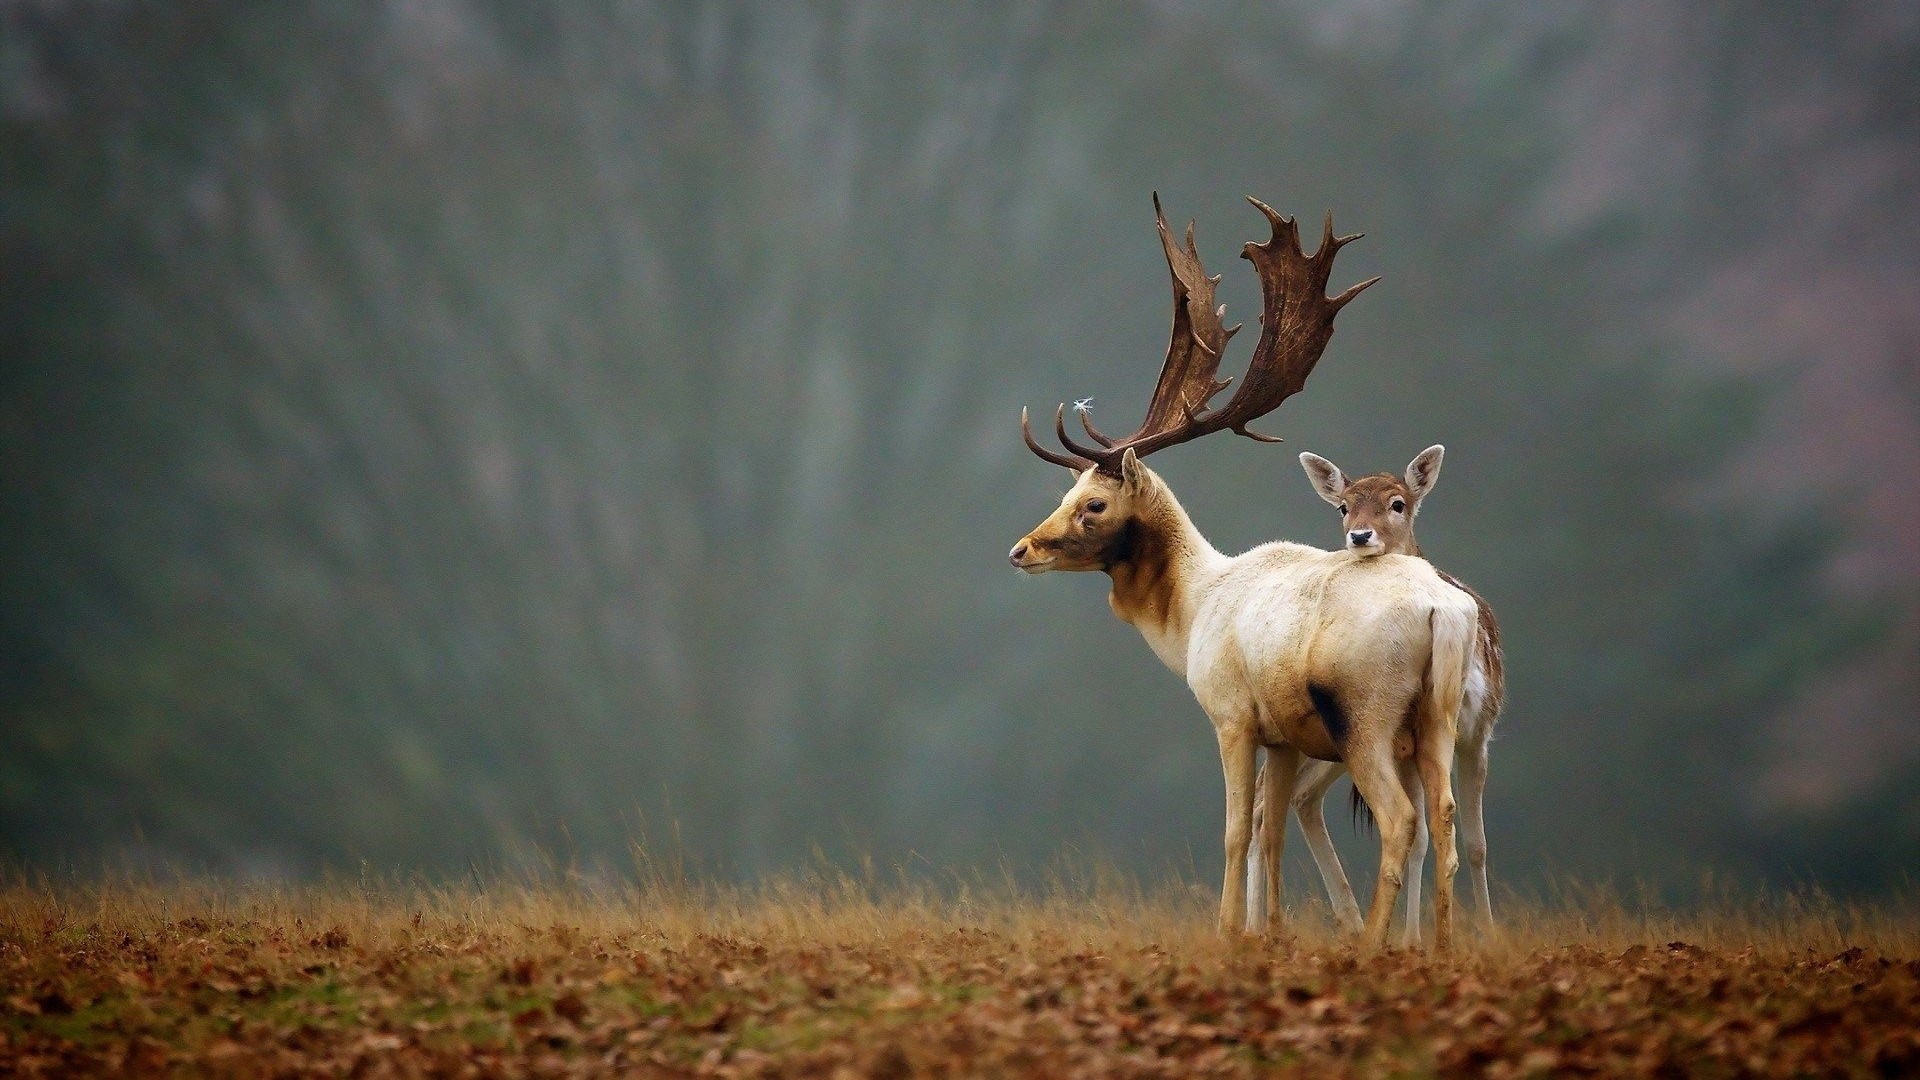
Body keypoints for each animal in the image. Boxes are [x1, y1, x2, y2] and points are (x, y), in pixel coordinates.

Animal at [1008, 194, 1480, 951]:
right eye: (1066, 491)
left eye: (1094, 503)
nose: (1022, 550)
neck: (1193, 611)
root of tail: (1444, 611)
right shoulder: (1283, 734)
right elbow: (1270, 833)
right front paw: (1271, 932)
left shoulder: (1230, 714)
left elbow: (1235, 830)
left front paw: (1229, 930)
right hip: (1436, 715)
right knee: (1446, 817)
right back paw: (1436, 947)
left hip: (1367, 714)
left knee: (1401, 818)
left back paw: (1372, 945)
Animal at [1245, 446, 1507, 944]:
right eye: (1343, 506)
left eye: (1397, 503)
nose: (1360, 536)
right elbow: (1425, 836)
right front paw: (1412, 939)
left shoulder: (1479, 730)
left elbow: (1476, 842)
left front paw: (1482, 933)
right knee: (1270, 802)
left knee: (1292, 799)